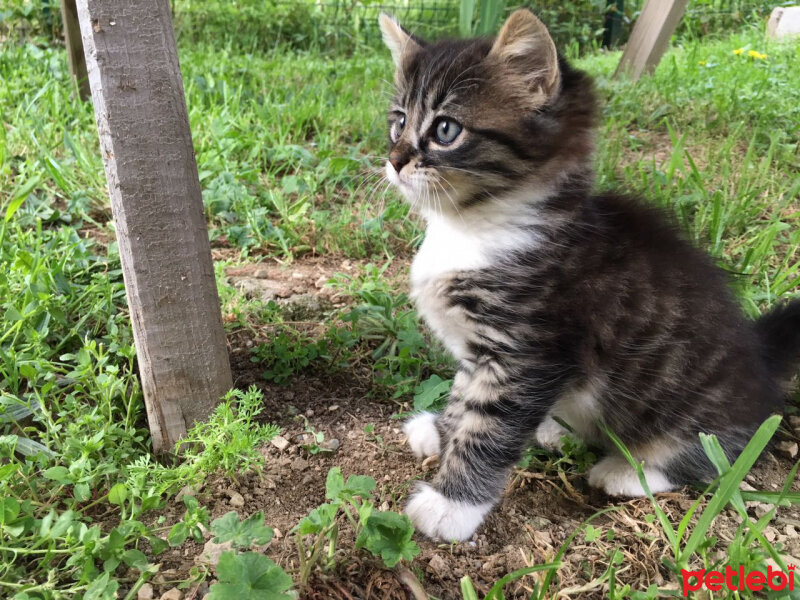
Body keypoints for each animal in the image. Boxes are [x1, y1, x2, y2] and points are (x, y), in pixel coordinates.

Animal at [376, 7, 800, 540]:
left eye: (446, 130)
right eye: (398, 122)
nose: (393, 161)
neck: (470, 228)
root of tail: (762, 354)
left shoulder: (530, 354)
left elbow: (489, 428)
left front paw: (451, 505)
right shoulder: (481, 353)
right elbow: (463, 397)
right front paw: (441, 431)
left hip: (703, 412)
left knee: (721, 455)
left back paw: (629, 470)